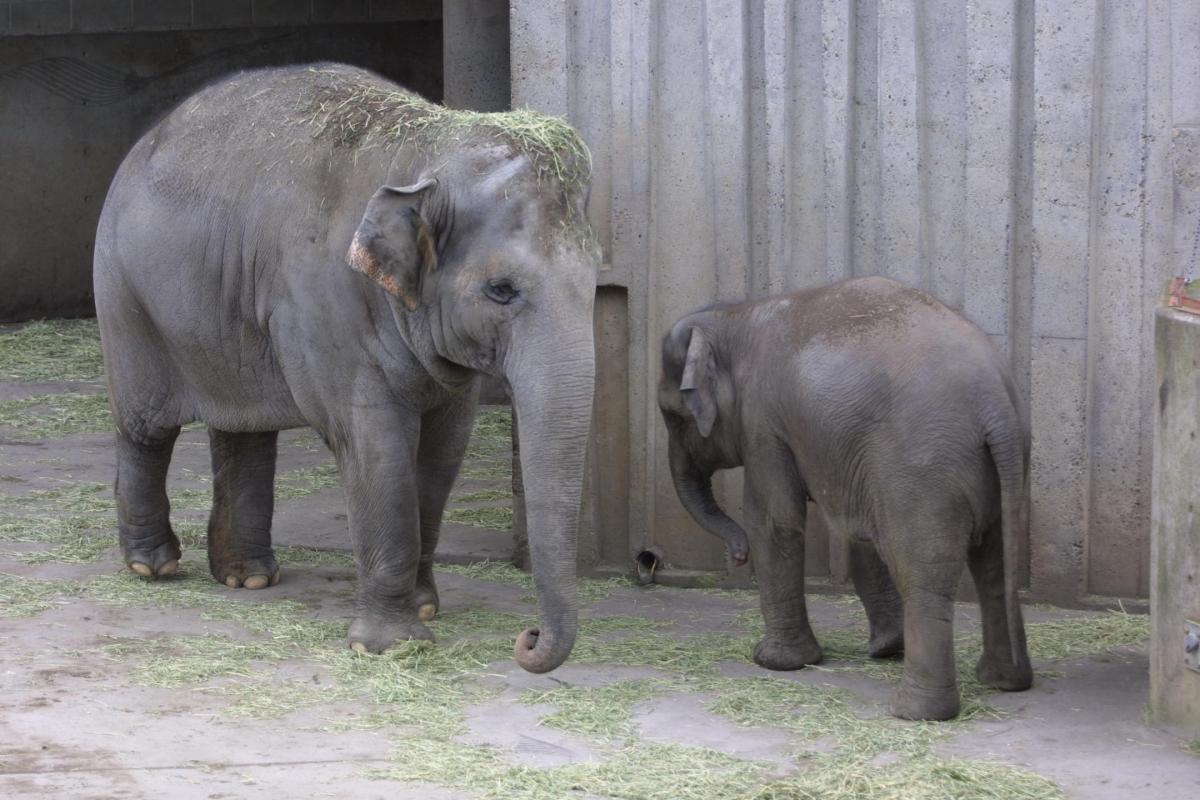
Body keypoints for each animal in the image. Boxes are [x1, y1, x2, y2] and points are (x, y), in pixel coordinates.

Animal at [93, 64, 600, 676]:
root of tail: (145, 139)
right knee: (147, 426)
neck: (428, 146)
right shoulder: (327, 305)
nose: (526, 639)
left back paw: (248, 577)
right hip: (124, 296)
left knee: (244, 428)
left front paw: (423, 609)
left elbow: (443, 452)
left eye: (597, 279)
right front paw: (390, 645)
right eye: (500, 290)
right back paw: (153, 566)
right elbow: (376, 448)